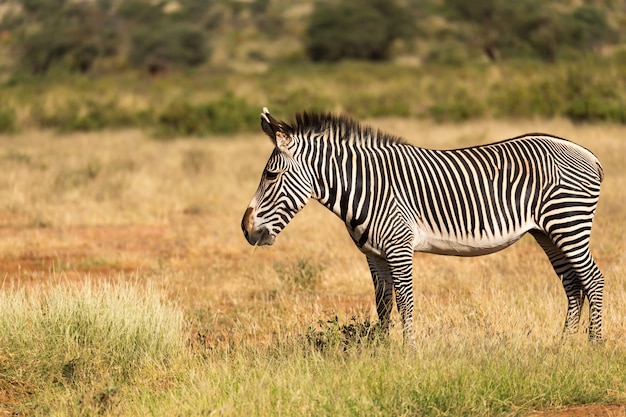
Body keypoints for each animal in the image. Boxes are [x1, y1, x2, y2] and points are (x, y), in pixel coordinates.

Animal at [241, 108, 604, 344]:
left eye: (270, 175)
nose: (245, 229)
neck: (368, 187)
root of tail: (587, 152)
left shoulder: (399, 247)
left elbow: (405, 302)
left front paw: (408, 353)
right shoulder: (374, 255)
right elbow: (383, 305)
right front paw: (382, 352)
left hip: (568, 223)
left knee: (593, 279)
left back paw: (593, 346)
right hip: (548, 232)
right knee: (573, 285)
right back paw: (563, 347)